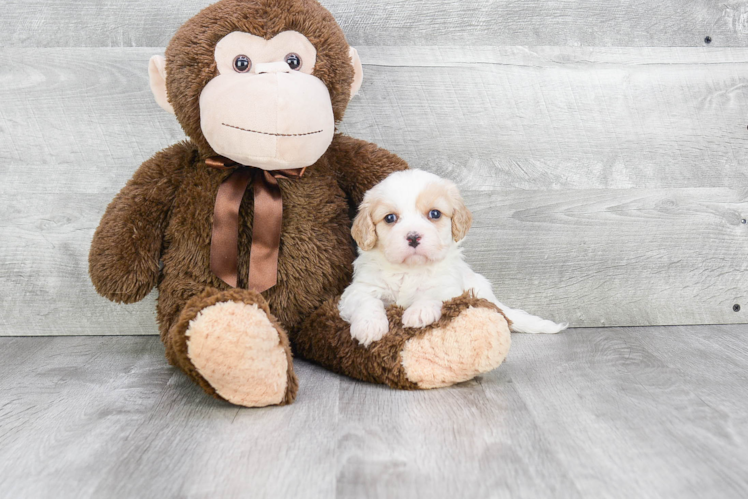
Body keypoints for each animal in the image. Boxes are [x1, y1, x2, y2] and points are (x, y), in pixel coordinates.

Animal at [338, 170, 568, 346]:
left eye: (435, 214)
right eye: (390, 218)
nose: (413, 237)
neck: (410, 269)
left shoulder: (451, 287)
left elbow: (434, 293)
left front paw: (419, 311)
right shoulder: (358, 289)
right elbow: (367, 301)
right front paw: (369, 326)